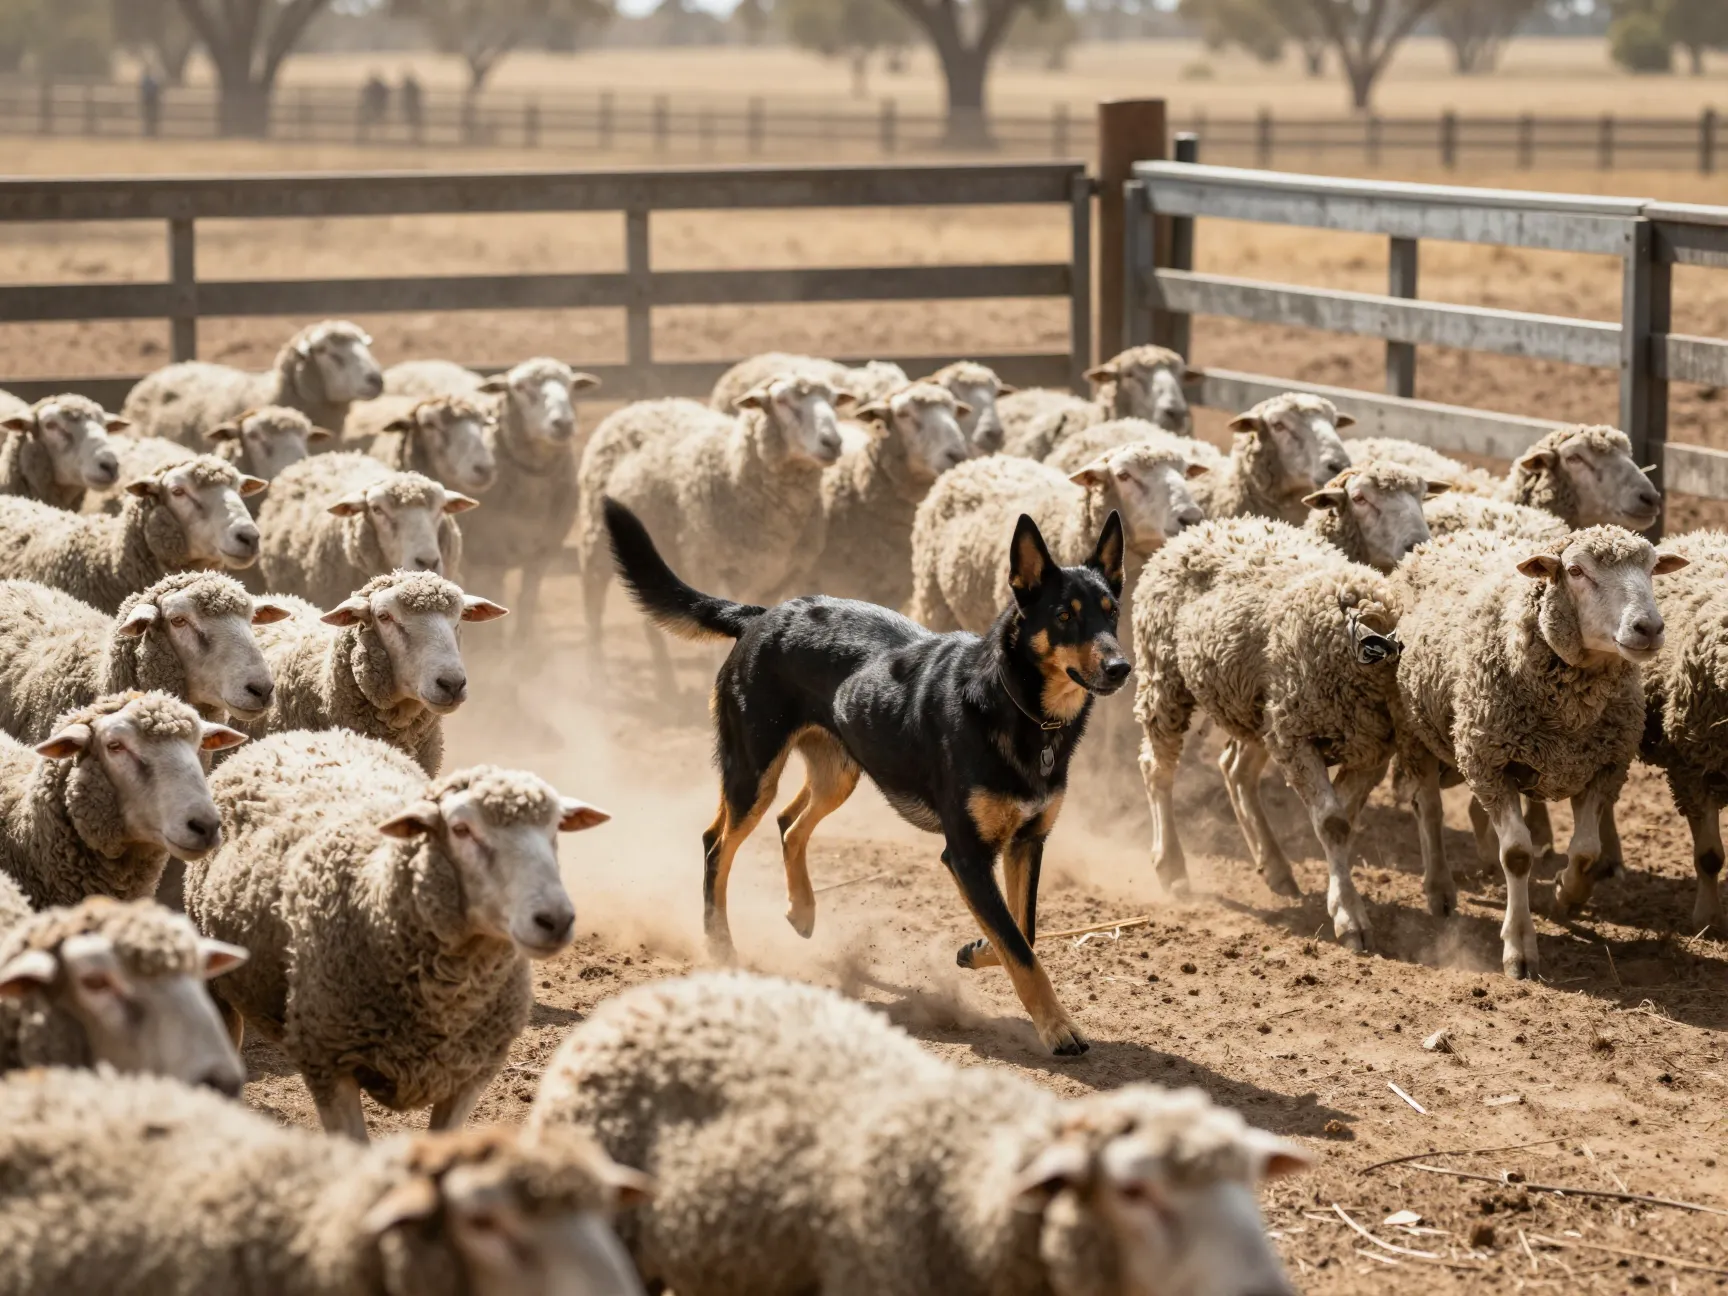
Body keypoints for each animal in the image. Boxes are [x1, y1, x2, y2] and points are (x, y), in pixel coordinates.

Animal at [185, 727, 609, 1140]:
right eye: (461, 829)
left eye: (555, 829)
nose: (555, 919)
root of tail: (305, 732)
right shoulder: (328, 1062)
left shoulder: (472, 1075)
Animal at [576, 376, 846, 676]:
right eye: (781, 400)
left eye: (834, 400)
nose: (832, 442)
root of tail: (643, 405)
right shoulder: (709, 567)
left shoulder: (782, 577)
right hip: (596, 538)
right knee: (592, 606)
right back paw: (596, 673)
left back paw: (666, 681)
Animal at [1132, 519, 1402, 950]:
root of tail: (1196, 529)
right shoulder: (1296, 736)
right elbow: (1333, 823)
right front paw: (1349, 916)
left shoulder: (1370, 751)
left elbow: (1343, 821)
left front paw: (1339, 898)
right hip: (1164, 677)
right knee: (1157, 769)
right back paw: (1171, 867)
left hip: (1255, 708)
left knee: (1234, 769)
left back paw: (1274, 866)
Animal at [1389, 526, 1686, 979]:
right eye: (1576, 571)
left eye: (1653, 568)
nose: (1649, 627)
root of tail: (1443, 538)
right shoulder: (1491, 764)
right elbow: (1516, 854)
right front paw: (1519, 948)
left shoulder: (1604, 765)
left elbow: (1586, 850)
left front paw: (1568, 894)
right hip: (1414, 731)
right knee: (1430, 810)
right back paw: (1439, 890)